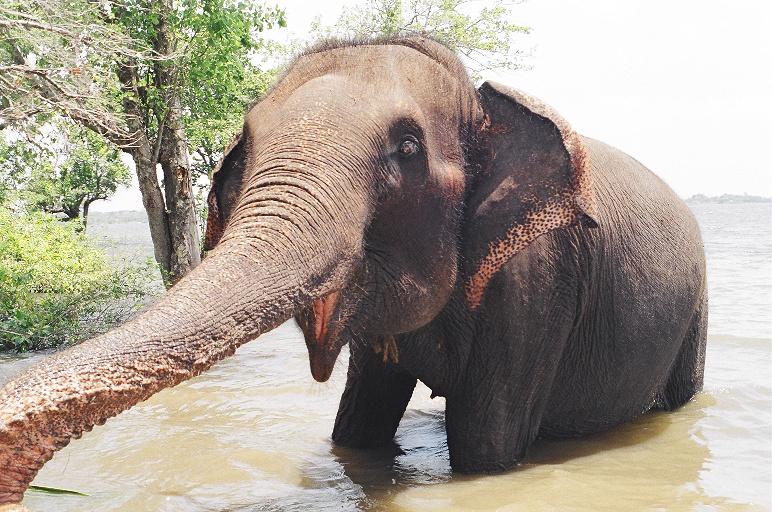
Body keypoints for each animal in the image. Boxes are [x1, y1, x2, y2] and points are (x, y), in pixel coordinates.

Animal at [0, 36, 707, 506]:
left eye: (408, 148)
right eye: (244, 148)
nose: (24, 487)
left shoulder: (538, 282)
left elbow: (485, 448)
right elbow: (357, 432)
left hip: (696, 308)